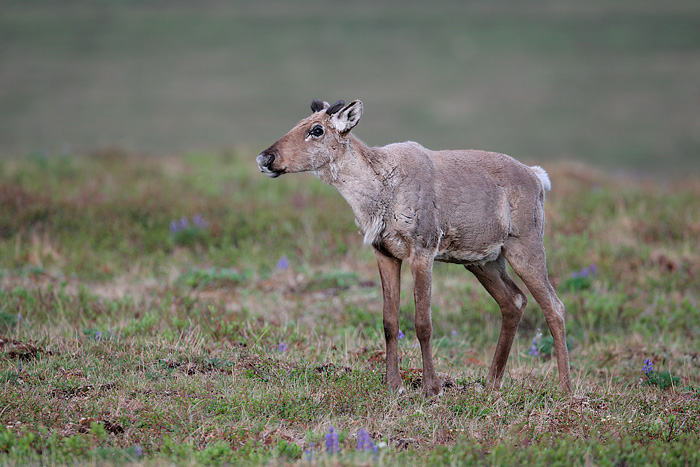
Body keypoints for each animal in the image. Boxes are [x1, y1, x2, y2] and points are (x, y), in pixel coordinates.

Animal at [254, 100, 572, 396]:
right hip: (484, 260)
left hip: (525, 244)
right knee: (514, 300)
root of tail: (538, 178)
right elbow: (389, 322)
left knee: (554, 305)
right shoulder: (385, 253)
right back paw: (491, 384)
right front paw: (393, 384)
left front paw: (432, 387)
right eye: (298, 123)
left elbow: (423, 323)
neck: (378, 195)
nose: (265, 157)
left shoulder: (423, 249)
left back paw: (565, 388)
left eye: (317, 130)